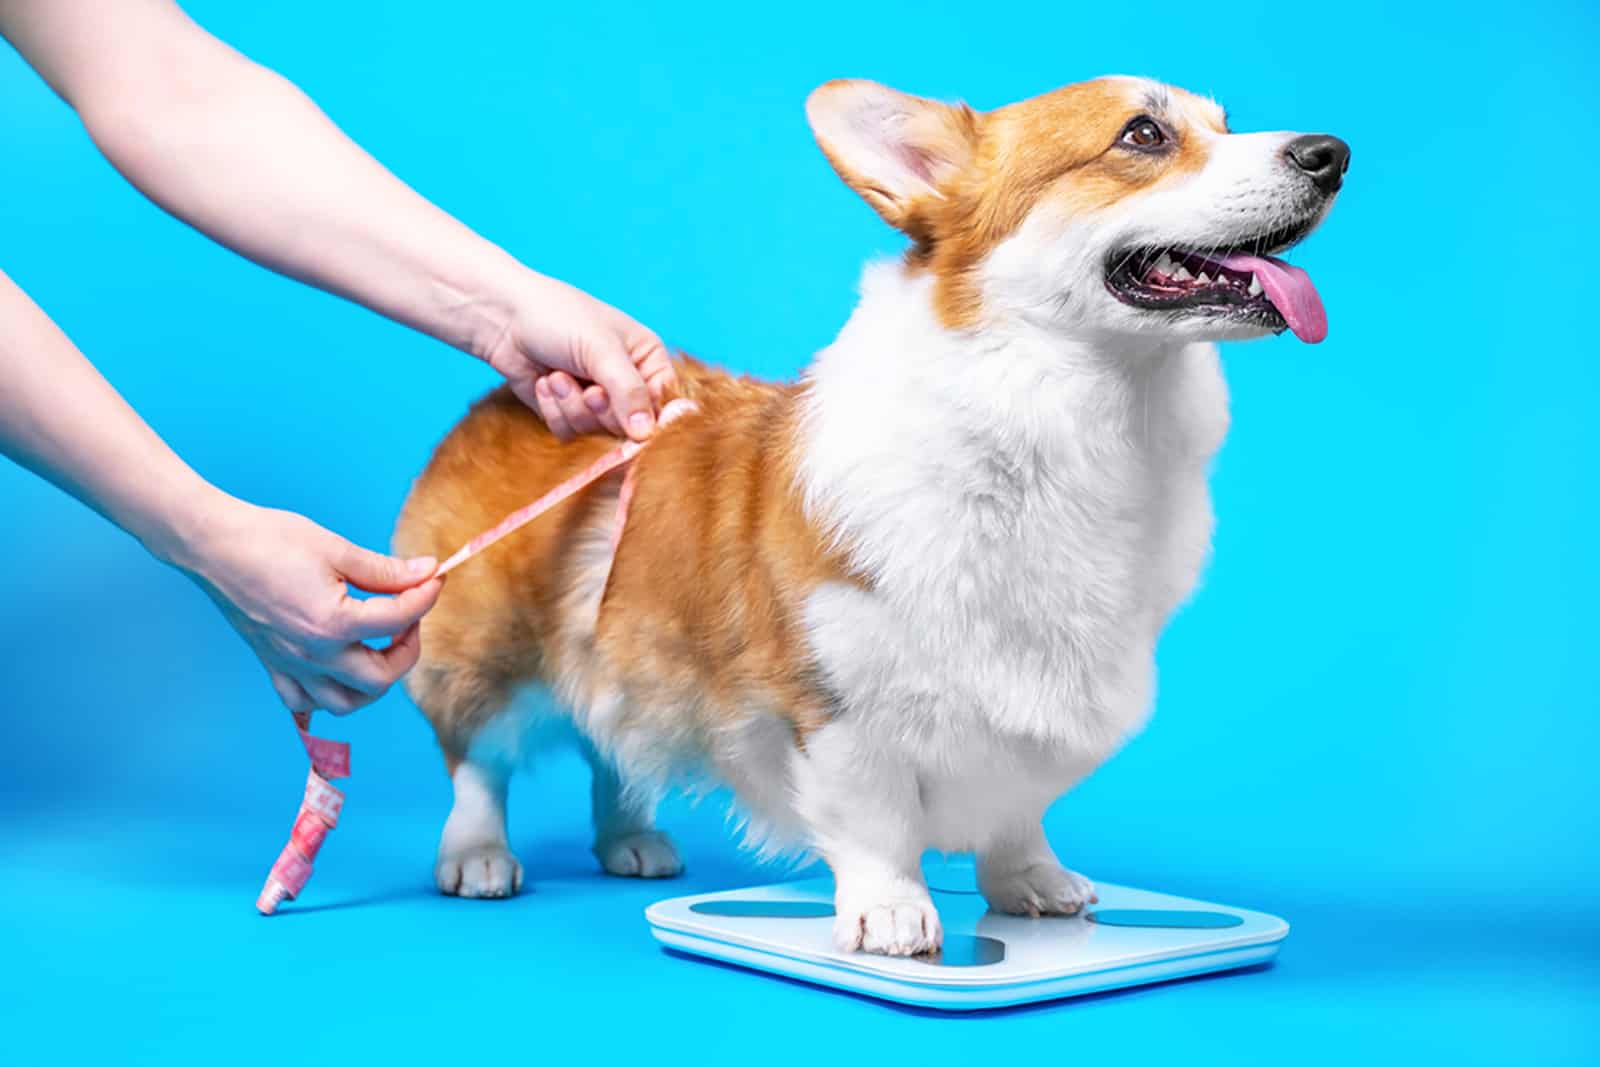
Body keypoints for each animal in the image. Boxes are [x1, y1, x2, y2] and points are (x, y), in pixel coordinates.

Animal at [393, 77, 1344, 959]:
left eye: (1223, 123)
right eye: (1143, 134)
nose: (1331, 153)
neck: (1062, 424)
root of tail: (501, 399)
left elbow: (1021, 807)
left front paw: (1030, 880)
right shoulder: (837, 703)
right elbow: (875, 819)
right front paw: (891, 911)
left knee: (612, 741)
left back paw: (630, 837)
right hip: (485, 652)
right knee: (476, 760)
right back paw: (477, 855)